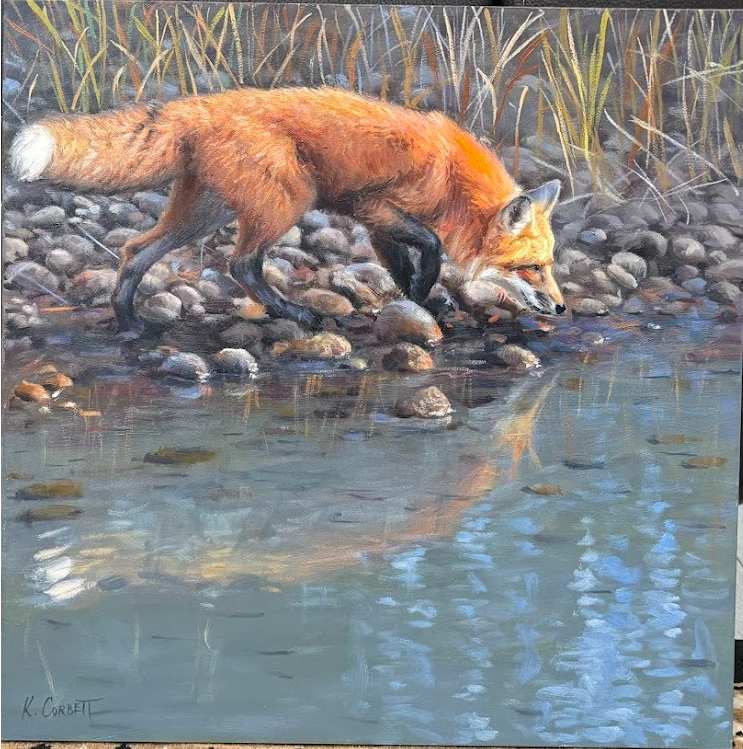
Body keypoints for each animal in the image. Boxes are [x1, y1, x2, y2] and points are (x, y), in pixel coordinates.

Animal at [9, 86, 565, 332]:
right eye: (533, 268)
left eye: (550, 266)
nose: (563, 307)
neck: (453, 179)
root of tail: (202, 104)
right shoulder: (372, 206)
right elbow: (427, 245)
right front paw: (427, 292)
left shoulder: (377, 226)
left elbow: (403, 265)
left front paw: (421, 300)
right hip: (285, 204)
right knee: (241, 265)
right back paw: (293, 312)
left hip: (203, 214)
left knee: (135, 251)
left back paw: (129, 321)